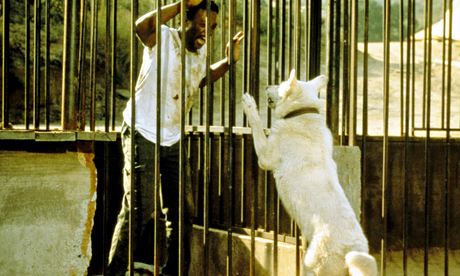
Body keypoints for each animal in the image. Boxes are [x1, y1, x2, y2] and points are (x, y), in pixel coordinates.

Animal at [243, 69, 376, 276]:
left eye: (281, 84)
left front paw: (249, 104)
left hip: (312, 265)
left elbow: (257, 125)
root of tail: (350, 251)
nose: (266, 86)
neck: (302, 112)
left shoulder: (264, 158)